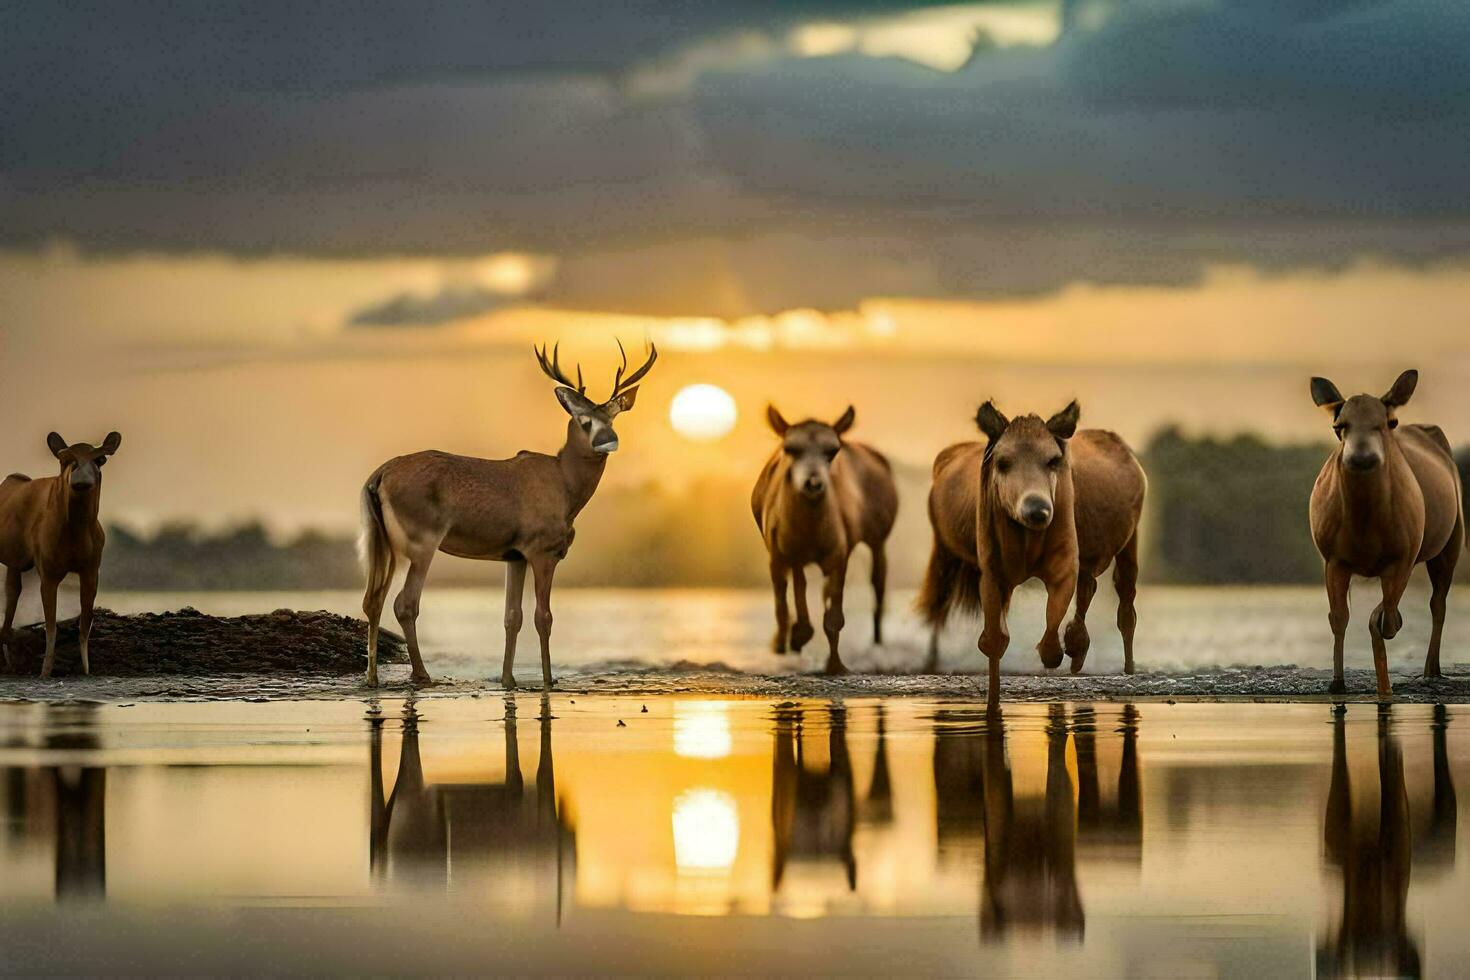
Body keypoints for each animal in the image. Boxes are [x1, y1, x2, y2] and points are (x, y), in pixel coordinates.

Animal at [0, 431, 120, 678]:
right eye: (65, 460)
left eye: (100, 459)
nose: (80, 479)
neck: (76, 529)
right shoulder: (48, 573)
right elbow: (51, 625)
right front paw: (44, 670)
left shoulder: (91, 571)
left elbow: (85, 622)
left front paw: (86, 669)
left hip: (15, 561)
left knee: (12, 592)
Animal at [355, 345, 655, 690]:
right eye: (583, 421)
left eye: (613, 416)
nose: (609, 441)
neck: (565, 486)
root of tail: (379, 475)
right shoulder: (543, 550)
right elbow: (543, 617)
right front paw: (548, 680)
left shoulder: (515, 555)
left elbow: (513, 617)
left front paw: (508, 679)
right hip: (422, 541)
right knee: (404, 603)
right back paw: (422, 675)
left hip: (384, 541)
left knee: (372, 599)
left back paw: (373, 678)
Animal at [758, 405, 893, 675]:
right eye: (790, 449)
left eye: (832, 450)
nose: (813, 483)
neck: (810, 530)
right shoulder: (784, 555)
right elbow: (790, 600)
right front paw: (795, 637)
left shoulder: (838, 556)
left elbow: (834, 618)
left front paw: (836, 665)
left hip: (878, 540)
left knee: (878, 582)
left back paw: (877, 644)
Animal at [917, 399, 1146, 714]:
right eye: (1002, 462)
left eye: (1052, 460)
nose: (1037, 509)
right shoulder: (992, 574)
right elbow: (995, 640)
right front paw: (992, 705)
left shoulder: (1064, 568)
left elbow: (1051, 642)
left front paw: (1065, 647)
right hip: (945, 558)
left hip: (1129, 544)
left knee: (1125, 607)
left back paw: (1120, 664)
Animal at [1311, 367, 1458, 696]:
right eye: (1338, 425)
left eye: (1390, 422)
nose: (1362, 456)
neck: (1366, 527)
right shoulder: (1332, 558)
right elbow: (1338, 617)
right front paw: (1337, 683)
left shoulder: (1404, 555)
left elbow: (1388, 621)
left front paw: (1385, 686)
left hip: (1452, 540)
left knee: (1438, 603)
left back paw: (1432, 670)